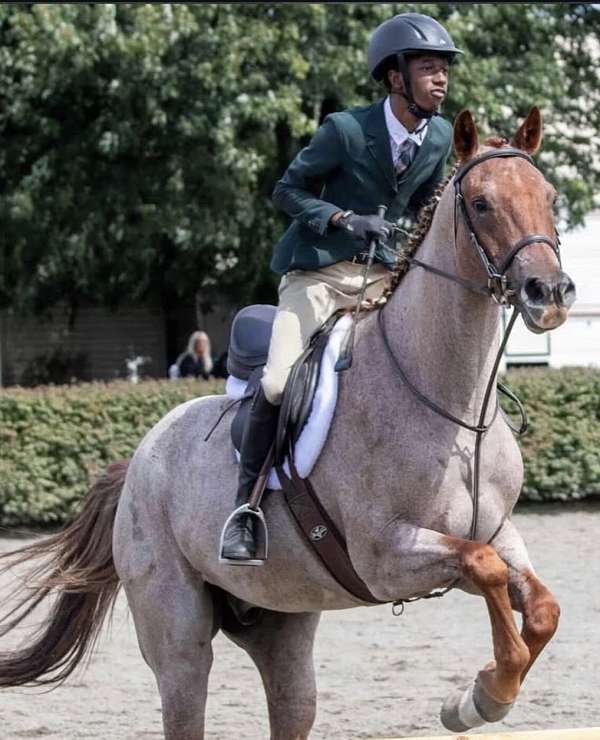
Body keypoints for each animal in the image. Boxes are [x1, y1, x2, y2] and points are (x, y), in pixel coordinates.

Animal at [0, 106, 576, 739]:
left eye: (549, 196)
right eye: (480, 203)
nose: (550, 293)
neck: (453, 406)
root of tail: (137, 462)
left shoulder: (497, 534)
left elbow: (540, 607)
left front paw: (478, 694)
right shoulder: (386, 556)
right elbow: (485, 569)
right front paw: (484, 697)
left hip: (281, 622)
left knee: (291, 697)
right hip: (178, 637)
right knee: (185, 691)